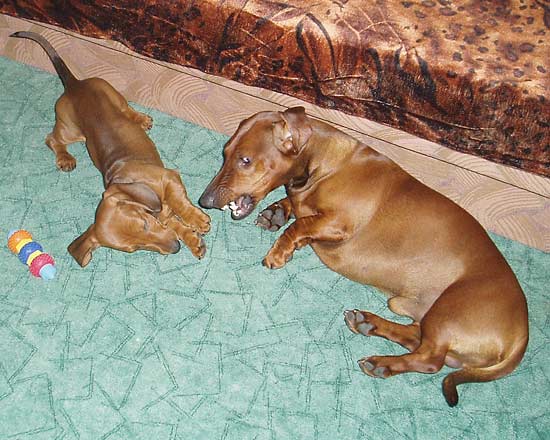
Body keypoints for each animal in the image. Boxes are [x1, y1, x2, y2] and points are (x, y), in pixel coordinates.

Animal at [11, 32, 210, 267]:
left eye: (144, 223)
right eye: (135, 248)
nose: (175, 248)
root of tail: (74, 85)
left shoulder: (169, 178)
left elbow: (179, 203)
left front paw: (196, 220)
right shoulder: (163, 212)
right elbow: (175, 223)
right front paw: (192, 239)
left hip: (110, 95)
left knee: (125, 110)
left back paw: (141, 119)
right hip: (71, 129)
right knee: (52, 139)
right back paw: (65, 158)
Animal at [199, 106, 529, 406]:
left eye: (246, 160)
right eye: (225, 152)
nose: (205, 201)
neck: (325, 165)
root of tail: (520, 336)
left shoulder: (339, 222)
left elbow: (301, 224)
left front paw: (280, 249)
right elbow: (298, 209)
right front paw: (277, 211)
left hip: (447, 312)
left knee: (431, 360)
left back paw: (383, 363)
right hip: (425, 314)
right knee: (416, 338)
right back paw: (367, 323)